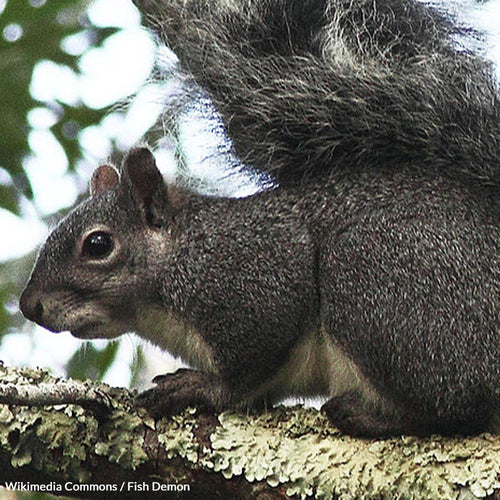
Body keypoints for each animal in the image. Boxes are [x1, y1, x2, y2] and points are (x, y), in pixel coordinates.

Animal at [17, 0, 498, 436]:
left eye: (98, 244)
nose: (28, 306)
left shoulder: (256, 281)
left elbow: (245, 372)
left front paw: (200, 388)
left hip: (376, 285)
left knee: (455, 405)